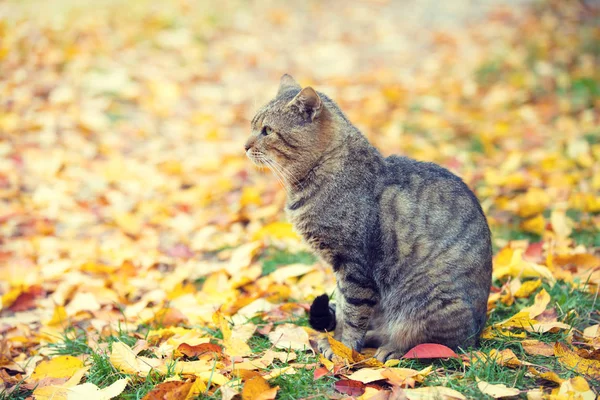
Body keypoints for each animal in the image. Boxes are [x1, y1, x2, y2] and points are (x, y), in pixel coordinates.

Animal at [244, 73, 492, 360]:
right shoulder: (341, 270)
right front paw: (338, 343)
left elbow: (352, 313)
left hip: (427, 303)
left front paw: (344, 350)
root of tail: (478, 333)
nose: (245, 146)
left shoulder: (354, 267)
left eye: (267, 131)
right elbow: (343, 309)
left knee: (431, 342)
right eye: (252, 126)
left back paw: (391, 350)